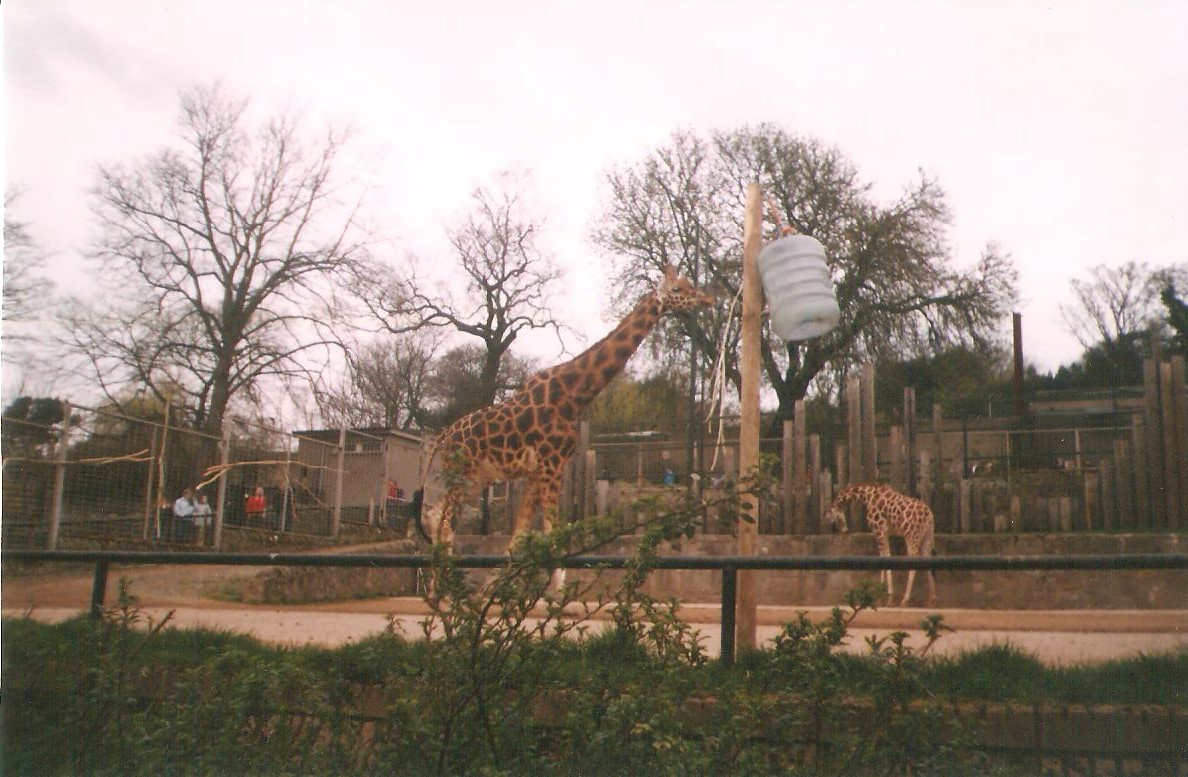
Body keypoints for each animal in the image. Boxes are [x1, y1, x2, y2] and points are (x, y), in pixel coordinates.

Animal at [411, 264, 714, 558]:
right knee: (443, 522)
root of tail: (444, 436)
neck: (573, 395)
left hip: (477, 478)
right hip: (461, 473)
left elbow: (518, 540)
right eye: (677, 289)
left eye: (689, 284)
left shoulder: (541, 469)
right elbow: (553, 537)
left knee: (436, 516)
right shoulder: (551, 463)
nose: (707, 299)